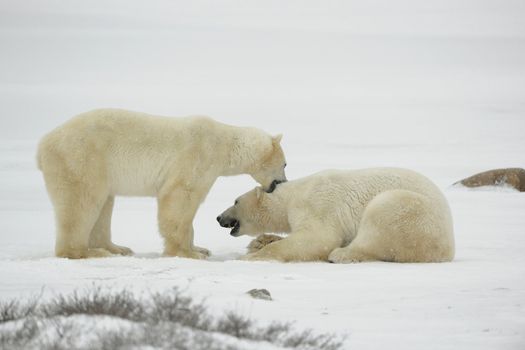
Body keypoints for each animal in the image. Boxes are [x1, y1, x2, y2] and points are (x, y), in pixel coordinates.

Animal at [37, 109, 286, 260]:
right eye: (284, 164)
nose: (281, 183)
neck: (223, 143)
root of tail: (42, 145)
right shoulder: (197, 155)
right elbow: (179, 197)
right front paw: (188, 253)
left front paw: (200, 248)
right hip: (82, 159)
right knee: (81, 203)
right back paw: (87, 252)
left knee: (104, 205)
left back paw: (116, 248)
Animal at [217, 167, 454, 262]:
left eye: (235, 201)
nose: (219, 217)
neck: (291, 195)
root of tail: (448, 249)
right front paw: (259, 242)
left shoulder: (316, 204)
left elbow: (317, 238)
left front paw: (250, 256)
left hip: (412, 214)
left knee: (379, 221)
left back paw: (341, 254)